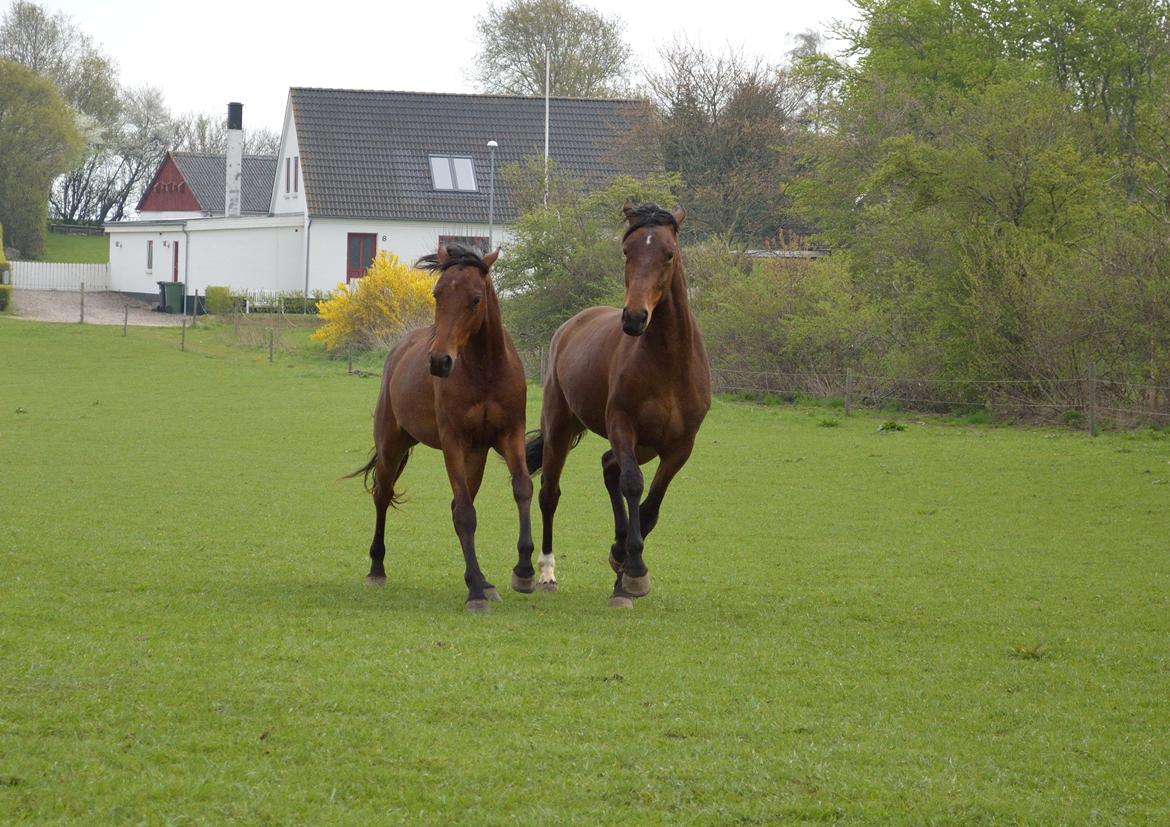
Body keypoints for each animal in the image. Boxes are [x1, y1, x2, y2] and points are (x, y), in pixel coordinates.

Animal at [353, 242, 535, 612]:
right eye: (437, 294)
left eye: (475, 299)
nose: (439, 361)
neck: (485, 371)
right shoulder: (454, 442)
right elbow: (465, 514)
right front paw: (475, 593)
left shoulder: (509, 436)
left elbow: (522, 488)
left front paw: (523, 570)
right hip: (392, 446)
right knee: (383, 495)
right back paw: (377, 568)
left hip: (475, 457)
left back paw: (483, 579)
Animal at [528, 203, 711, 608]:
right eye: (627, 251)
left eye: (668, 253)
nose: (635, 317)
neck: (667, 361)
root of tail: (571, 325)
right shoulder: (622, 425)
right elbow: (633, 484)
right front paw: (634, 569)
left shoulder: (681, 447)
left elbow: (651, 507)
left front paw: (624, 565)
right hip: (561, 429)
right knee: (550, 493)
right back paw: (546, 573)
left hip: (645, 446)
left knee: (608, 466)